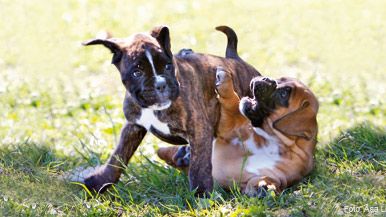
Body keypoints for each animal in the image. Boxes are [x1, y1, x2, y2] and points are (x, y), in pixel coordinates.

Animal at [83, 26, 260, 194]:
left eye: (168, 66)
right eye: (137, 72)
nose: (161, 84)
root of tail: (233, 57)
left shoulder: (199, 130)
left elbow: (199, 166)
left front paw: (201, 193)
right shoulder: (133, 126)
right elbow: (118, 157)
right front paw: (99, 182)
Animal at [158, 68, 318, 198]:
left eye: (284, 94)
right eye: (279, 80)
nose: (266, 79)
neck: (278, 143)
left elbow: (265, 180)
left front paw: (265, 186)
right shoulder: (231, 128)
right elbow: (233, 105)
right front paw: (225, 82)